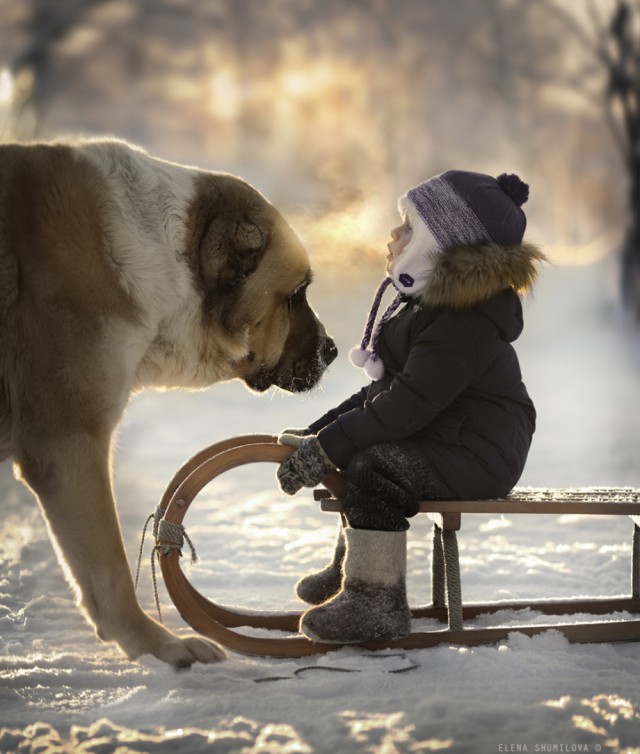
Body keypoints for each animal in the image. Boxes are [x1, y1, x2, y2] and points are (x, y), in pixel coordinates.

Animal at [0, 138, 340, 668]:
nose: (334, 350)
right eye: (295, 295)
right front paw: (159, 647)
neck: (172, 259)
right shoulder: (68, 443)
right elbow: (110, 569)